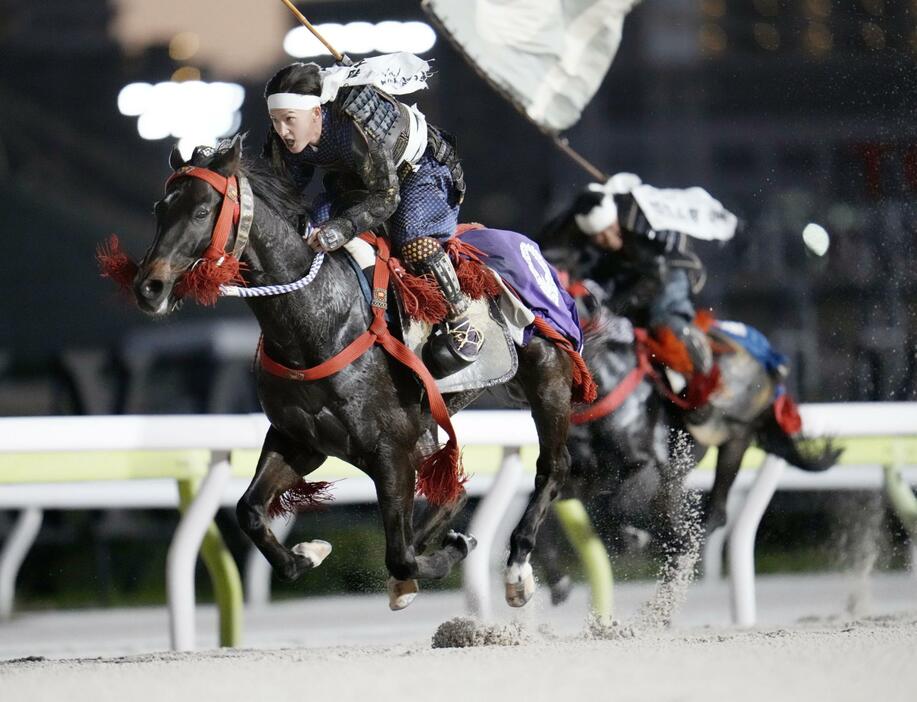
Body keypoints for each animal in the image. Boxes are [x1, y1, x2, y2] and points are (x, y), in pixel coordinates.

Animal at [129, 139, 572, 612]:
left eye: (200, 211)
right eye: (160, 208)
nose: (149, 287)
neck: (315, 321)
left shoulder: (391, 449)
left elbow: (401, 556)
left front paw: (453, 549)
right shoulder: (301, 440)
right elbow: (249, 510)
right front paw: (308, 553)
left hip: (548, 378)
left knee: (552, 466)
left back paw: (517, 569)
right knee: (452, 497)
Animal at [528, 308, 836, 604]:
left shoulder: (644, 466)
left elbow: (618, 505)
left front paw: (636, 537)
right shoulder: (584, 477)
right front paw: (557, 582)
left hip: (735, 432)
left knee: (715, 513)